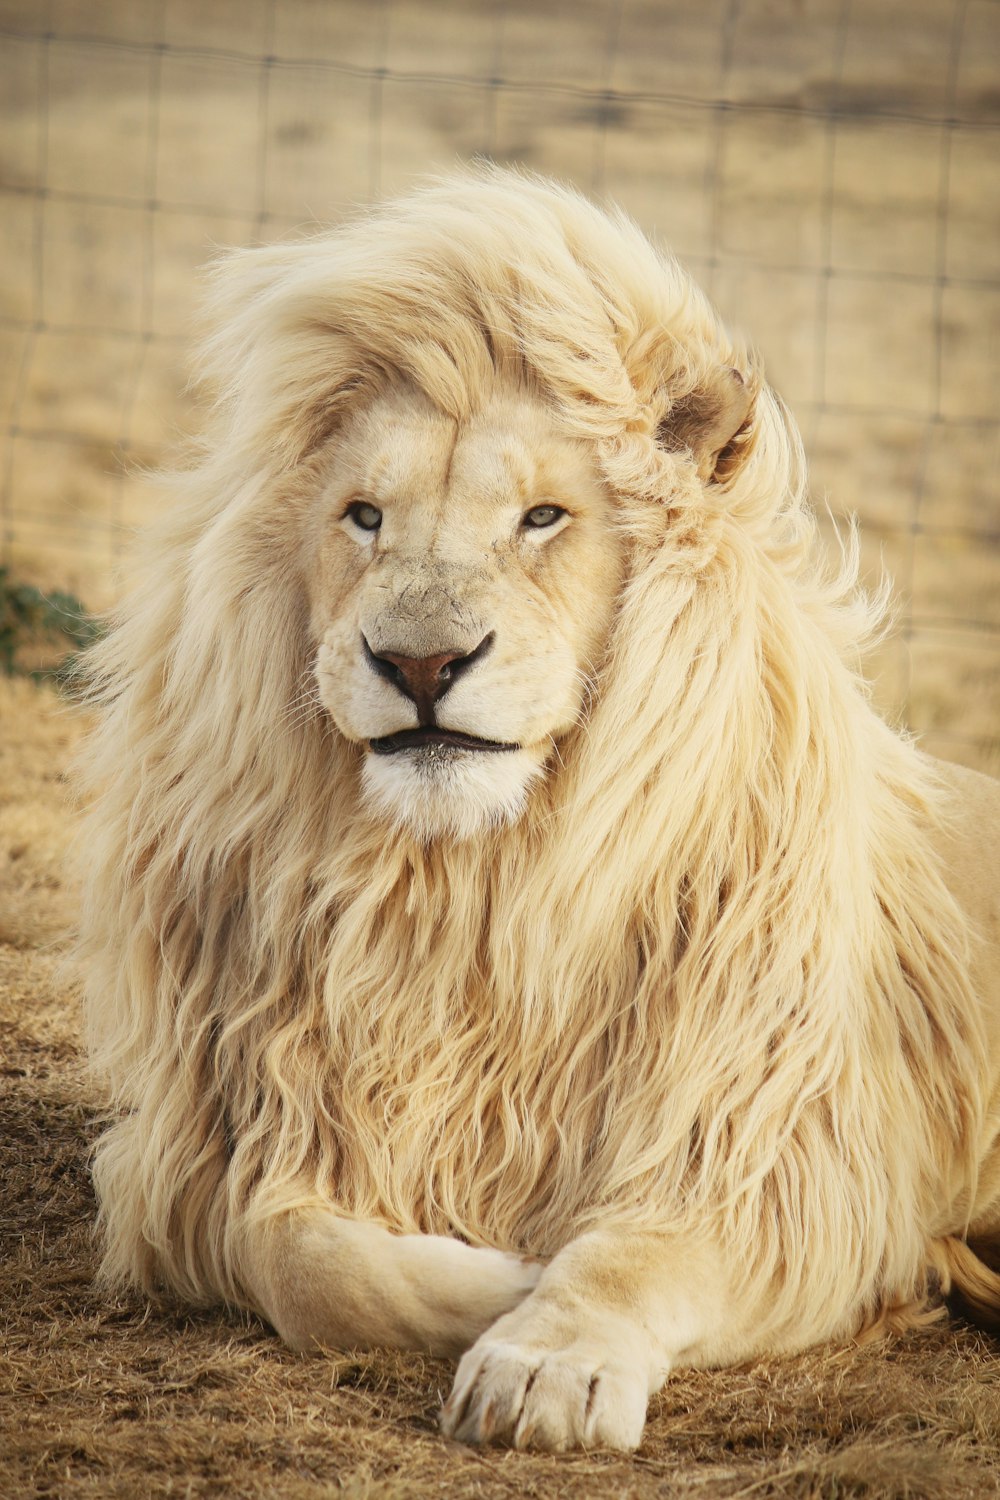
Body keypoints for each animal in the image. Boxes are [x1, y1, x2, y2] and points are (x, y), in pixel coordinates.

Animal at [78, 164, 1000, 1452]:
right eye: (364, 516)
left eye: (542, 518)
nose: (419, 663)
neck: (470, 889)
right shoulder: (223, 1145)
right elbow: (303, 1259)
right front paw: (500, 1278)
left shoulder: (775, 1156)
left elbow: (629, 1254)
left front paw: (542, 1357)